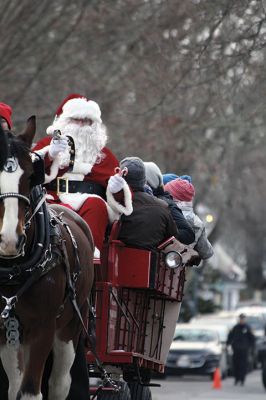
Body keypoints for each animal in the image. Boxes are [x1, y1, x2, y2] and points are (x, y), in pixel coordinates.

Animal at [0, 117, 94, 398]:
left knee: (59, 383)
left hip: (70, 325)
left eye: (32, 175)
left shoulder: (43, 327)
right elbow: (15, 388)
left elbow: (31, 391)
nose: (10, 240)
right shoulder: (5, 330)